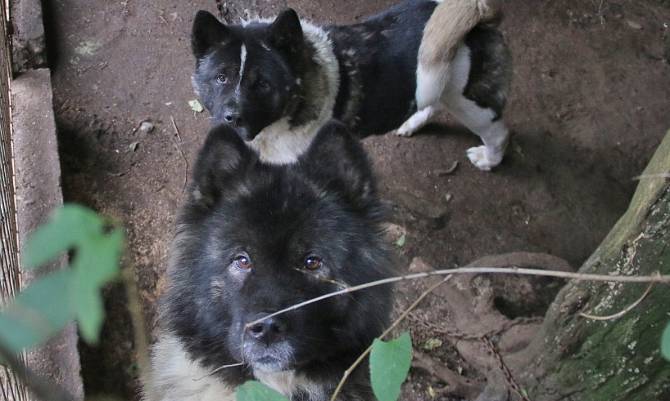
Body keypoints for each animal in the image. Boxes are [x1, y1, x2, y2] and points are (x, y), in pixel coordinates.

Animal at [192, 0, 512, 170]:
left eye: (263, 84)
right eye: (221, 77)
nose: (232, 118)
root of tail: (480, 12)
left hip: (470, 104)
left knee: (498, 132)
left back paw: (489, 159)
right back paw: (412, 122)